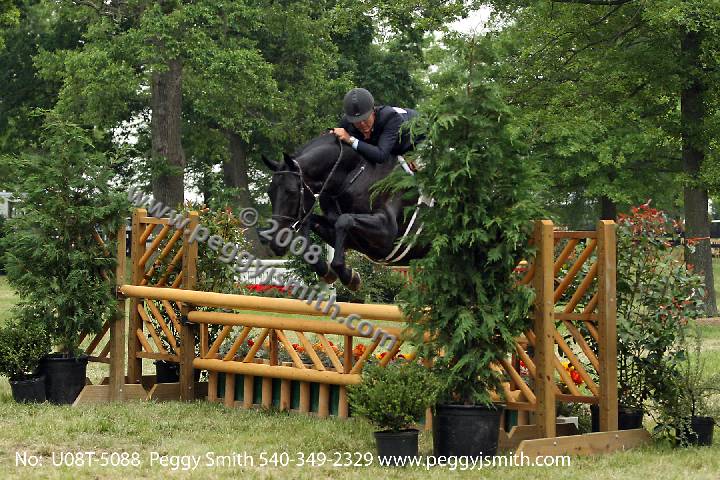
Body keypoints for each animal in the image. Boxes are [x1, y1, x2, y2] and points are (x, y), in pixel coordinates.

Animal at [260, 132, 428, 290]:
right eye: (269, 193)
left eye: (291, 192)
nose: (275, 242)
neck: (352, 174)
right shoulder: (342, 235)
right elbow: (310, 222)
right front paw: (326, 271)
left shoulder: (388, 235)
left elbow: (344, 220)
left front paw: (349, 277)